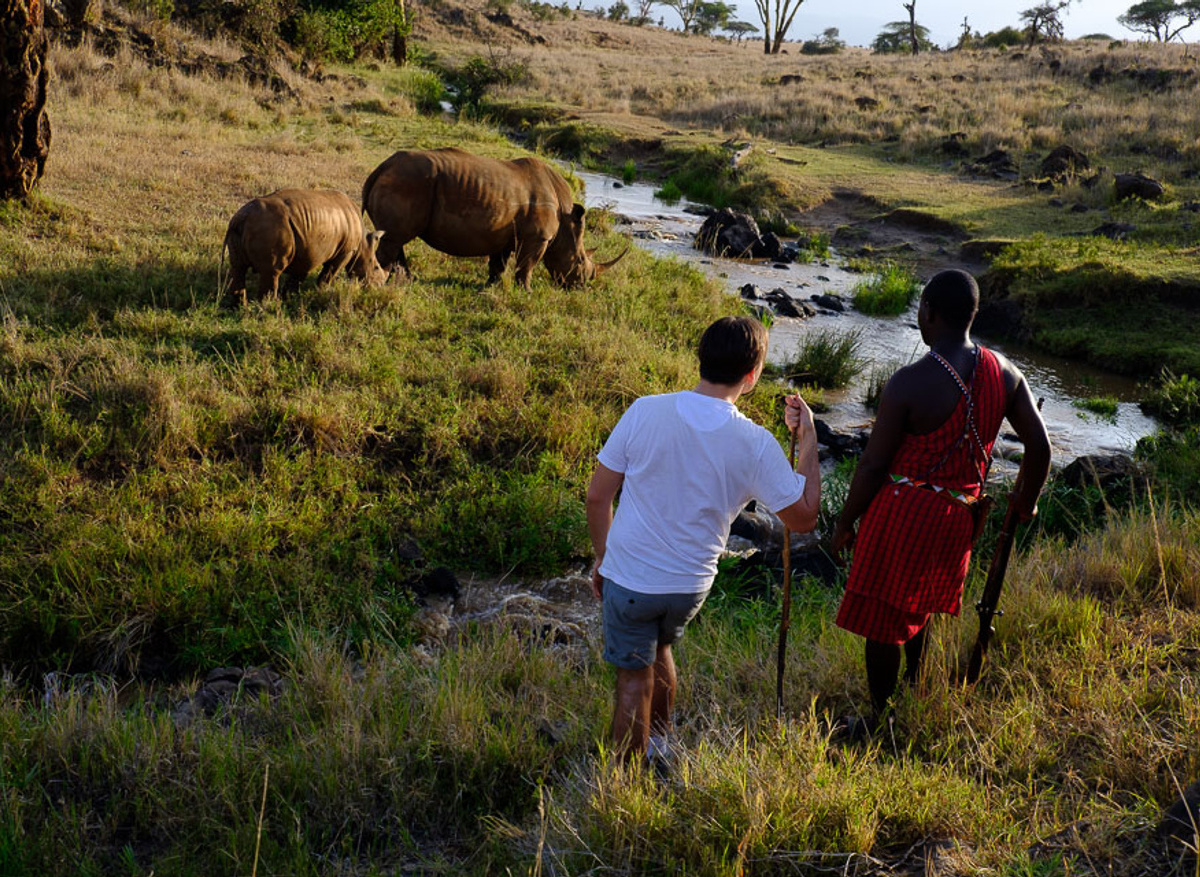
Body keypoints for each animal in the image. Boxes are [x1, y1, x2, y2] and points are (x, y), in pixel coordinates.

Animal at [223, 188, 386, 304]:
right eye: (376, 267)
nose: (379, 286)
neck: (362, 244)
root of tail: (242, 217)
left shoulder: (306, 248)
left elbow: (298, 275)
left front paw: (289, 297)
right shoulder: (346, 252)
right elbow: (330, 273)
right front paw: (322, 291)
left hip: (246, 228)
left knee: (238, 267)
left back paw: (240, 307)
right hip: (270, 227)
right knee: (272, 271)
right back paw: (270, 307)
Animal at [361, 147, 625, 290]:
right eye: (579, 261)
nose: (581, 286)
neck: (566, 220)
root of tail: (381, 168)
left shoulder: (504, 234)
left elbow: (499, 263)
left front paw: (492, 286)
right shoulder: (537, 238)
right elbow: (526, 265)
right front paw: (526, 291)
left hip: (404, 180)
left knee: (396, 239)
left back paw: (406, 280)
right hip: (408, 182)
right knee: (394, 239)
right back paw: (378, 282)